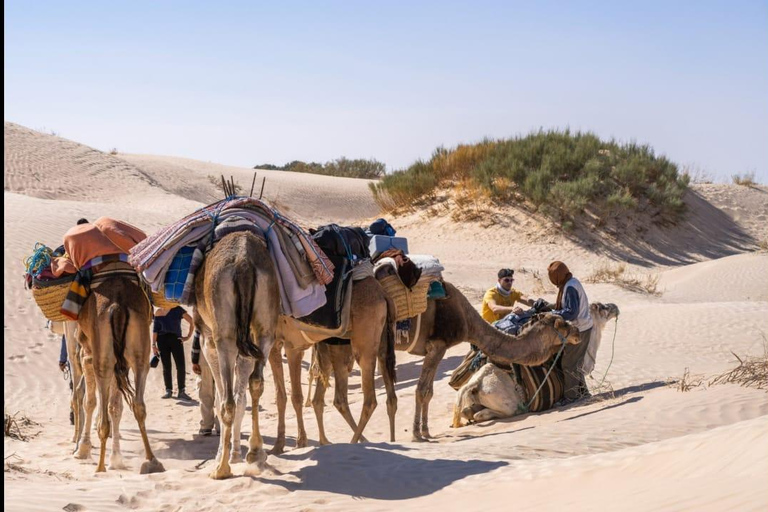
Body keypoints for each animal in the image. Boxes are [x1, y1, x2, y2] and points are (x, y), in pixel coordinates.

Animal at [73, 270, 165, 474]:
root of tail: (117, 307)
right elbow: (114, 405)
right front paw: (115, 458)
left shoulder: (86, 356)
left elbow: (90, 402)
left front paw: (82, 449)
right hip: (139, 350)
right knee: (138, 404)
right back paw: (151, 461)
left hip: (103, 358)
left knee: (103, 413)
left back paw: (100, 466)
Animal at [194, 232, 280, 480]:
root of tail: (244, 263)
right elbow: (242, 396)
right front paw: (238, 454)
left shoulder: (208, 341)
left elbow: (221, 397)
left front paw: (222, 456)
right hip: (265, 327)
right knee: (256, 383)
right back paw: (256, 452)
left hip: (224, 335)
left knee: (227, 402)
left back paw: (221, 469)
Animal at [452, 302, 620, 426]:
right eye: (602, 308)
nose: (614, 307)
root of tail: (476, 383)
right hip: (507, 403)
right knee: (489, 414)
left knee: (468, 412)